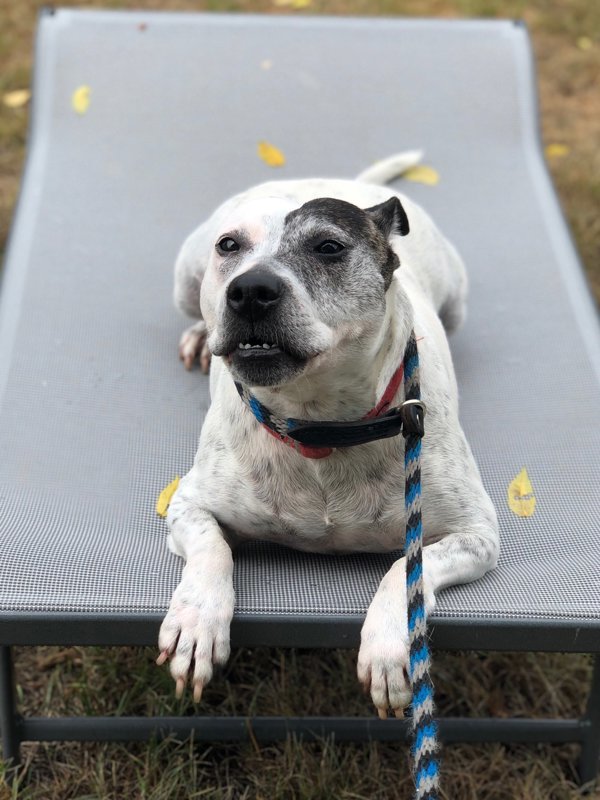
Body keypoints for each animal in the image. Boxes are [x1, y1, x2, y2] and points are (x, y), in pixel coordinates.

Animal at [157, 153, 500, 716]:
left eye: (329, 247)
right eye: (230, 245)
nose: (249, 290)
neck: (318, 424)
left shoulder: (477, 535)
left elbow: (407, 571)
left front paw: (390, 643)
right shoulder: (188, 504)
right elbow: (213, 548)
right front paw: (197, 620)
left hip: (458, 300)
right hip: (185, 276)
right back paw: (198, 339)